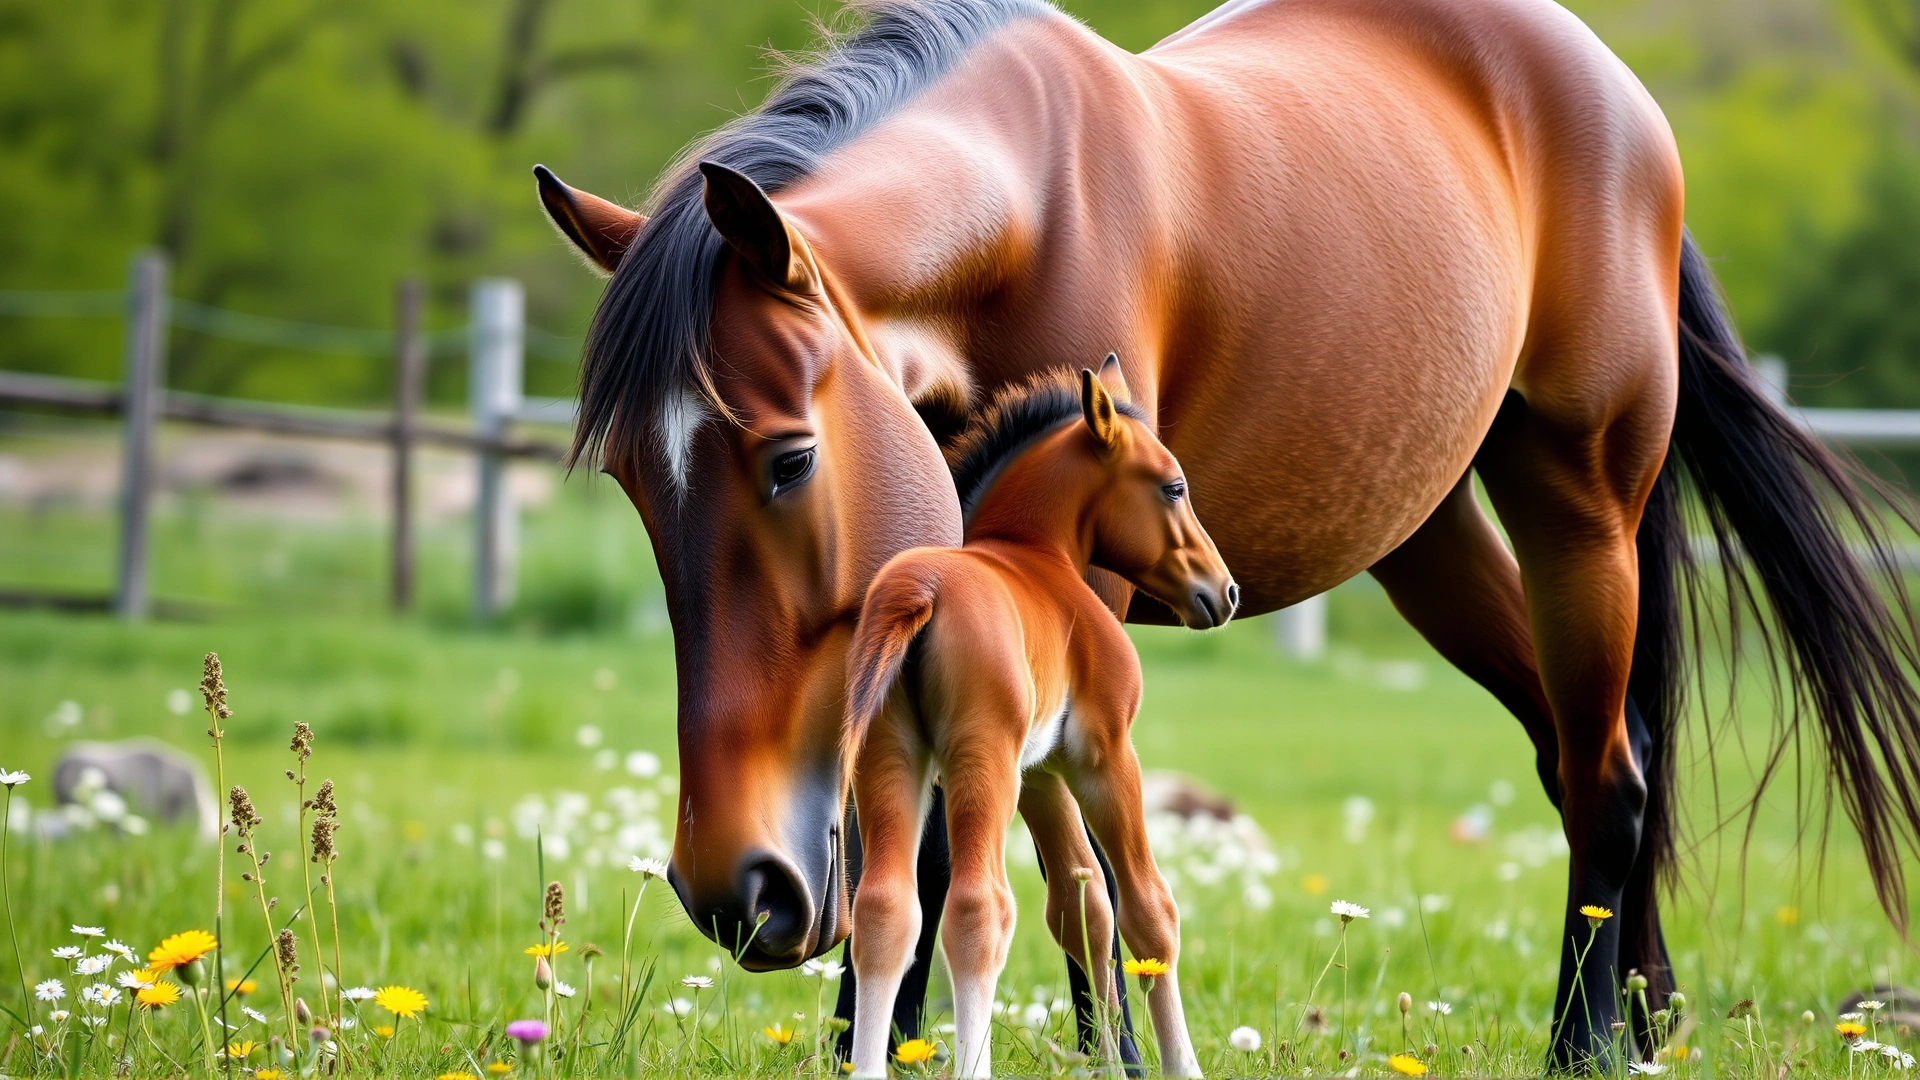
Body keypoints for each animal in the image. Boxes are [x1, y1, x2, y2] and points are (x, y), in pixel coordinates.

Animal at [842, 366, 1229, 1077]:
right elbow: (1146, 910)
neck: (1036, 557)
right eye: (1173, 486)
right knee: (978, 908)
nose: (1224, 592)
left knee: (885, 909)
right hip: (981, 759)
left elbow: (1082, 902)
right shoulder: (1104, 753)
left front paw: (1111, 1062)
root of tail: (922, 592)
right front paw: (1179, 1066)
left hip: (891, 756)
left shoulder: (1044, 772)